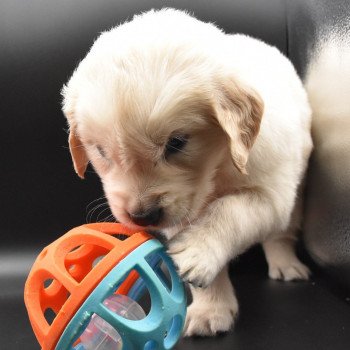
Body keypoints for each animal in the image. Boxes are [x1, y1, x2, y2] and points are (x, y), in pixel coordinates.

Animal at [61, 8, 314, 336]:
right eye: (101, 152)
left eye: (177, 143)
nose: (142, 216)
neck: (218, 166)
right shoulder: (179, 215)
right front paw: (211, 309)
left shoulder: (272, 195)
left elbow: (231, 210)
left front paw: (198, 249)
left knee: (281, 232)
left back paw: (286, 264)